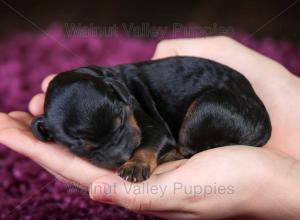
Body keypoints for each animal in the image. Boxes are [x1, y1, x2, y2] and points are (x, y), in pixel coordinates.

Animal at [30, 56, 272, 182]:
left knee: (187, 148)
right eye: (82, 148)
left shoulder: (158, 129)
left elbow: (149, 145)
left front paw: (135, 165)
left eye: (121, 121)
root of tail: (265, 126)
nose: (122, 155)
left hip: (205, 107)